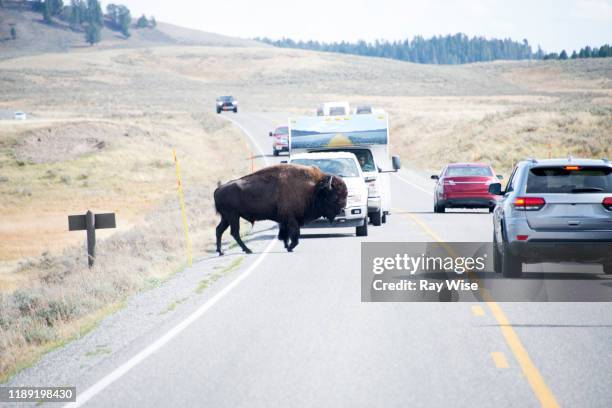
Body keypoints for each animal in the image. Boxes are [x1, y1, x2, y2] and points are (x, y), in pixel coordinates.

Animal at [213, 163, 346, 255]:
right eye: (335, 196)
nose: (342, 209)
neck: (313, 189)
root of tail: (218, 189)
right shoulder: (291, 219)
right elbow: (294, 235)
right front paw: (291, 247)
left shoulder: (284, 219)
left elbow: (284, 234)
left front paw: (287, 246)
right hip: (233, 216)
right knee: (234, 232)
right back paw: (247, 250)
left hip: (226, 217)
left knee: (219, 230)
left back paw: (221, 251)